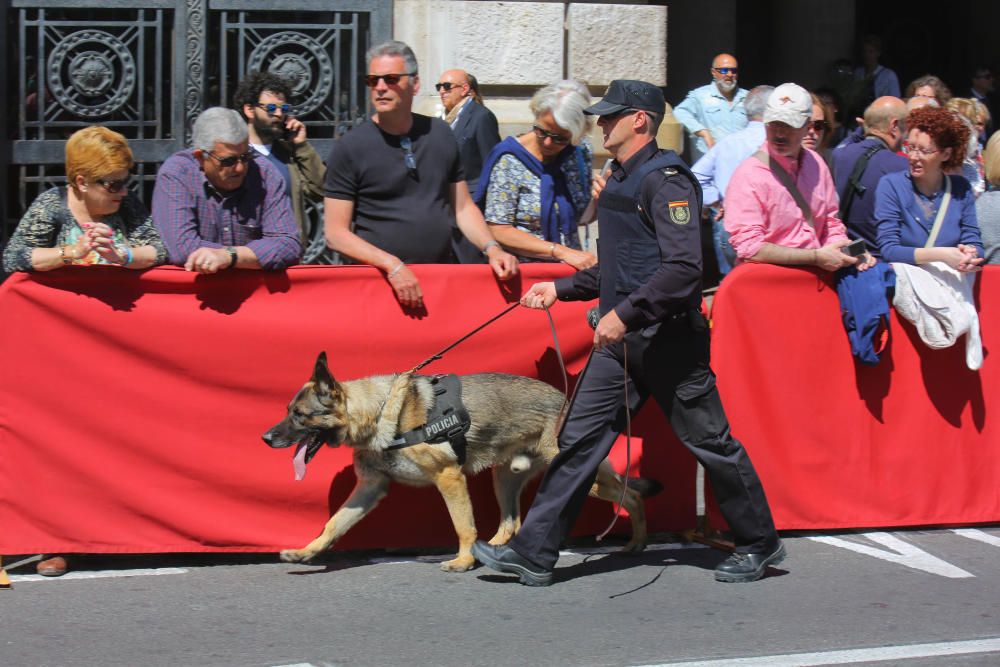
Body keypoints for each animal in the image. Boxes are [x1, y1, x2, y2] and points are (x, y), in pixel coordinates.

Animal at [262, 352, 660, 572]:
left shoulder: (449, 478)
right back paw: (497, 551)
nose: (266, 438)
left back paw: (637, 541)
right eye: (288, 411)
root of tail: (564, 398)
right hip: (504, 479)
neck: (378, 412)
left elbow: (463, 526)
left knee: (631, 495)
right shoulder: (369, 489)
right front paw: (306, 552)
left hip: (583, 477)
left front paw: (463, 561)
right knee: (512, 522)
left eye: (298, 415)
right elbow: (332, 525)